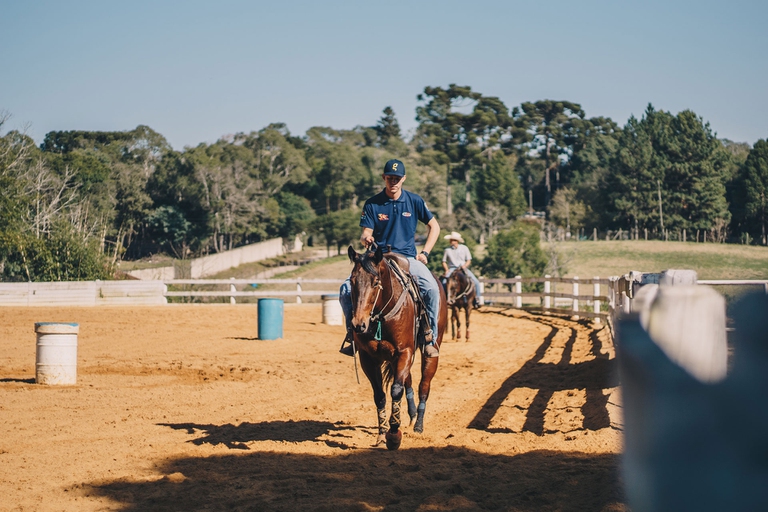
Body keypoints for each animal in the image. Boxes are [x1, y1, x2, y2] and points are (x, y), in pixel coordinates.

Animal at [347, 244, 447, 450]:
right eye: (352, 281)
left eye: (376, 282)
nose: (358, 324)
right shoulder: (368, 358)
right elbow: (380, 394)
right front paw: (382, 433)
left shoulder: (404, 352)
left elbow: (396, 390)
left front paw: (394, 435)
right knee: (407, 381)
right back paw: (411, 415)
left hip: (431, 350)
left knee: (424, 385)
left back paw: (418, 425)